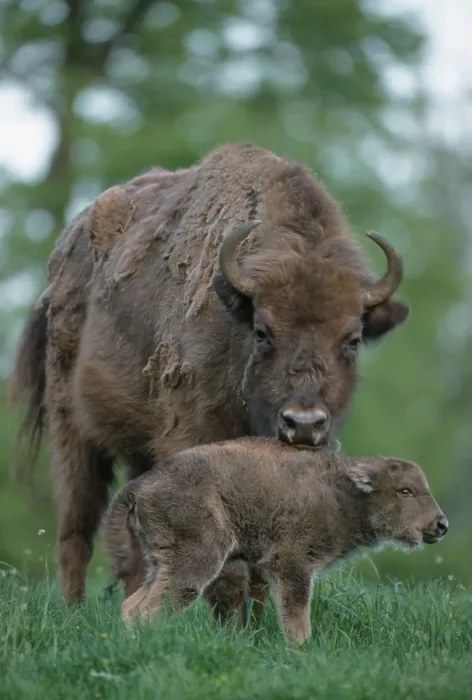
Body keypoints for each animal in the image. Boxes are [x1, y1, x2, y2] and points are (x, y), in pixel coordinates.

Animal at [10, 142, 410, 619]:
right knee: (77, 525)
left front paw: (256, 625)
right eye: (262, 331)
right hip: (72, 428)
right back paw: (75, 610)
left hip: (139, 450)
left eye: (351, 340)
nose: (304, 425)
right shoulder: (193, 438)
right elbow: (228, 562)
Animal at [102, 437, 448, 644]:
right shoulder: (293, 566)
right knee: (151, 608)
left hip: (159, 562)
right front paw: (302, 648)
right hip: (196, 560)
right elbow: (296, 613)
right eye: (405, 490)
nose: (441, 525)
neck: (342, 493)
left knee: (132, 604)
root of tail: (140, 484)